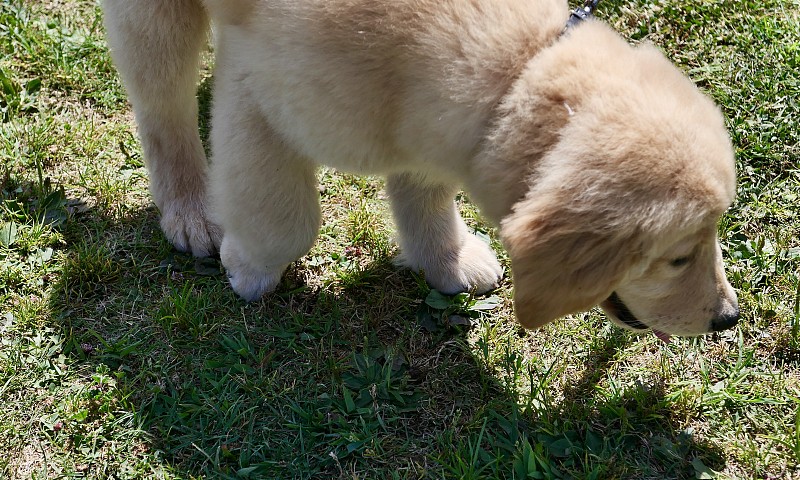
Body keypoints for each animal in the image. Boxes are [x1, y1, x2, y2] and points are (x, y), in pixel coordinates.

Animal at [103, 0, 740, 338]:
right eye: (677, 257)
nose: (729, 320)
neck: (514, 72)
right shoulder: (258, 90)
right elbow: (285, 217)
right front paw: (250, 266)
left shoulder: (432, 127)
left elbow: (422, 193)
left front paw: (446, 259)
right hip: (156, 21)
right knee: (162, 108)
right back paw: (191, 210)